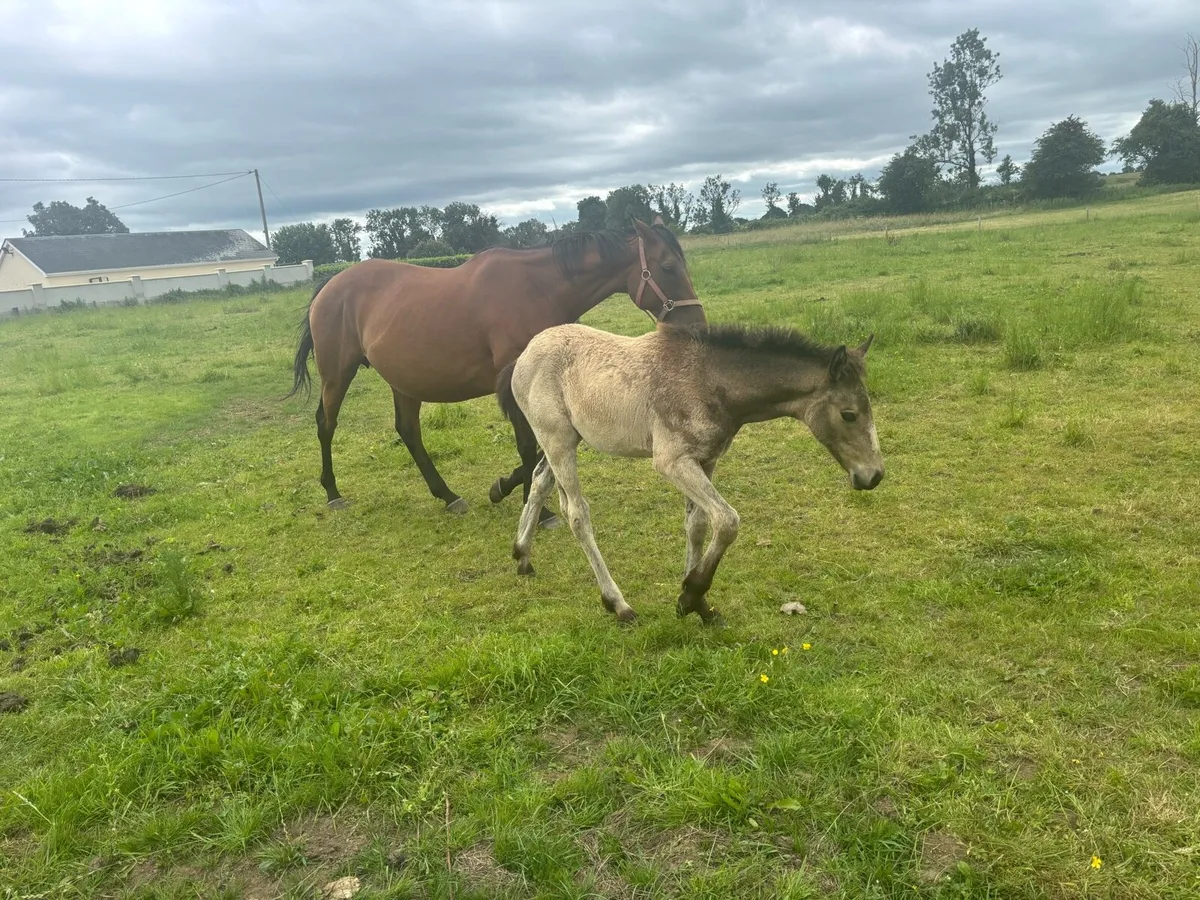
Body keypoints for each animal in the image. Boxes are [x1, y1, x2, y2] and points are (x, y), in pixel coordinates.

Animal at [287, 217, 705, 521]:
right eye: (668, 266)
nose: (697, 326)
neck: (538, 288)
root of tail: (331, 284)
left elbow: (539, 451)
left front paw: (503, 489)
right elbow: (528, 446)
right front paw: (536, 510)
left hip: (404, 382)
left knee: (408, 433)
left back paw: (448, 496)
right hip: (337, 375)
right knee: (326, 424)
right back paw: (333, 493)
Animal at [496, 321, 884, 625]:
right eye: (849, 414)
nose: (874, 475)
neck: (708, 381)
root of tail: (522, 356)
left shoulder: (705, 460)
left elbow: (697, 525)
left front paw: (699, 605)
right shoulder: (672, 461)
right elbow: (727, 521)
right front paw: (691, 593)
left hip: (565, 442)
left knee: (540, 482)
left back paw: (522, 555)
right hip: (558, 440)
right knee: (577, 513)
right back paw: (618, 605)